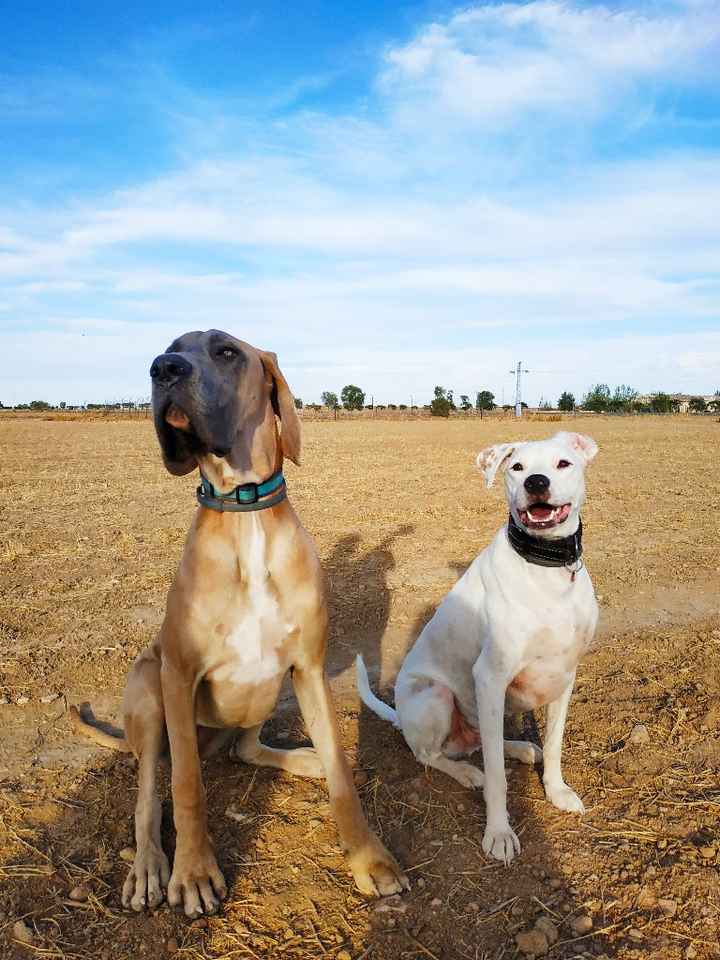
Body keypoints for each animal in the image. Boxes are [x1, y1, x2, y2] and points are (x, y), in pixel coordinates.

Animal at [75, 328, 408, 916]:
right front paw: (193, 872)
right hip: (148, 688)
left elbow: (343, 775)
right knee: (150, 790)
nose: (162, 368)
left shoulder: (308, 669)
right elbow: (185, 787)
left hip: (266, 689)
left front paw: (370, 858)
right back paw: (149, 866)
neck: (244, 509)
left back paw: (303, 759)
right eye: (171, 346)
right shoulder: (178, 674)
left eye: (226, 351)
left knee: (246, 749)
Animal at [358, 432, 600, 868]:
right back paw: (470, 773)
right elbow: (499, 781)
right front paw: (499, 833)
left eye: (563, 463)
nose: (536, 482)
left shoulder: (565, 675)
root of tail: (399, 714)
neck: (546, 568)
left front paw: (556, 791)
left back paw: (520, 748)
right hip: (435, 696)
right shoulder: (490, 677)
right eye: (517, 468)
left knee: (484, 743)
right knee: (433, 755)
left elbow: (555, 745)